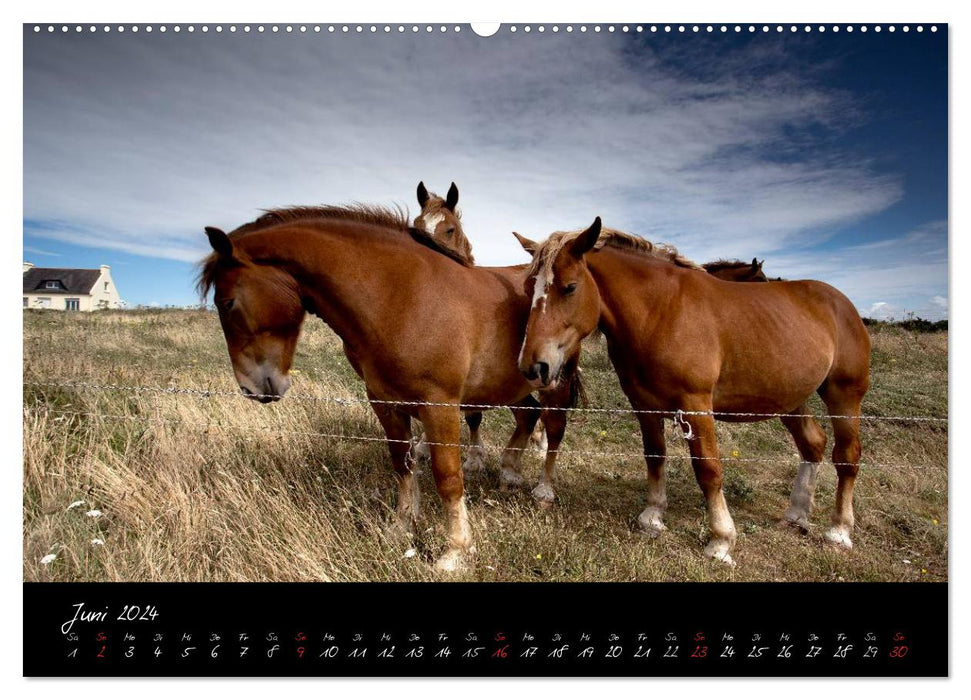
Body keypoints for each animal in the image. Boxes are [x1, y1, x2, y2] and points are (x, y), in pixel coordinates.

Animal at [199, 201, 576, 568]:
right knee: (528, 415)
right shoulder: (385, 402)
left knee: (554, 427)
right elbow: (403, 464)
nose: (251, 387)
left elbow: (448, 476)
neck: (403, 297)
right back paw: (510, 474)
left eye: (227, 303)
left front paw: (456, 552)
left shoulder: (439, 405)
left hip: (553, 380)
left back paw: (543, 491)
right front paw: (402, 528)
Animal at [516, 220, 872, 568]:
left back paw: (839, 531)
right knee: (813, 444)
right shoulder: (643, 403)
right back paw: (796, 515)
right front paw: (652, 517)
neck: (661, 310)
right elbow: (655, 455)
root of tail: (842, 303)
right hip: (790, 400)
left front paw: (721, 541)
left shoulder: (696, 405)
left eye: (570, 287)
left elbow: (708, 469)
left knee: (847, 456)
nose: (534, 367)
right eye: (529, 289)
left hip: (844, 395)